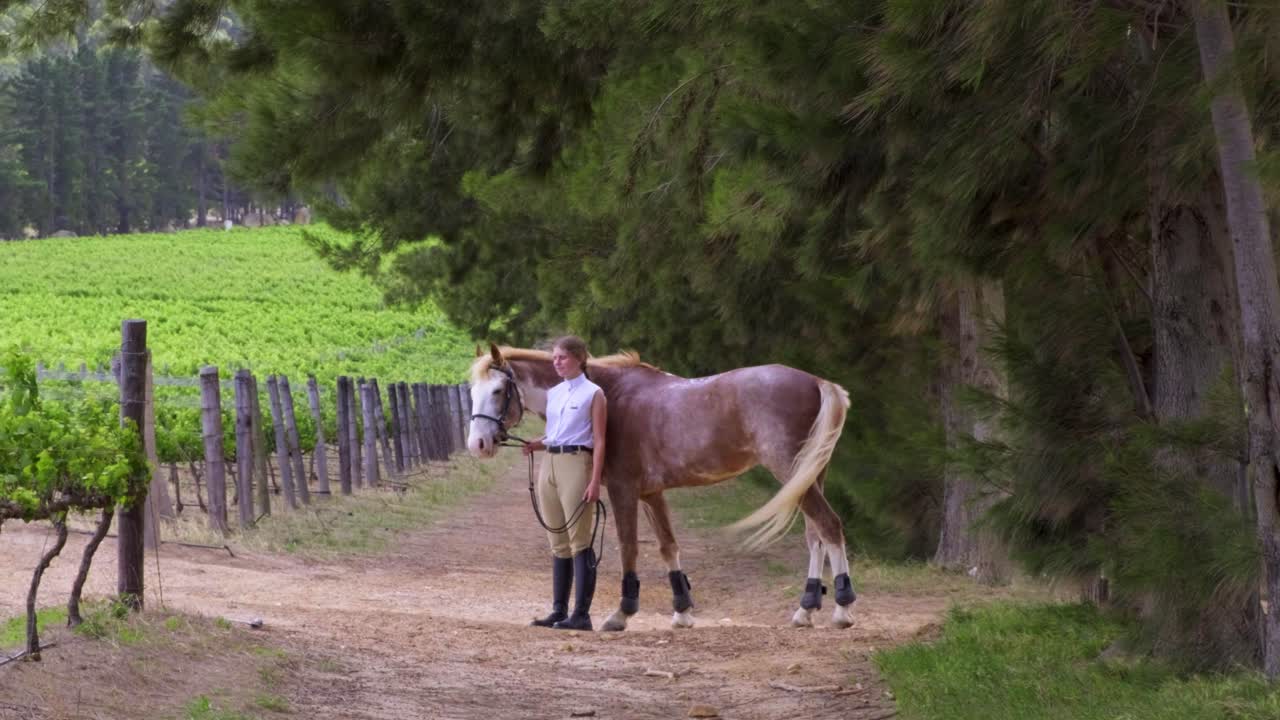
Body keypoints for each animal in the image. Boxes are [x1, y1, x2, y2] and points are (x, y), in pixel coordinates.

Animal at [466, 344, 854, 631]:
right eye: (472, 392)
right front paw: (682, 612)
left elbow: (629, 548)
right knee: (815, 535)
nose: (478, 445)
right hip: (810, 476)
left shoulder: (623, 490)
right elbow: (668, 547)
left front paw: (622, 614)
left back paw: (843, 609)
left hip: (792, 472)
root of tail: (818, 382)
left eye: (498, 391)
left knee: (829, 525)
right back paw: (806, 609)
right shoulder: (651, 493)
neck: (610, 396)